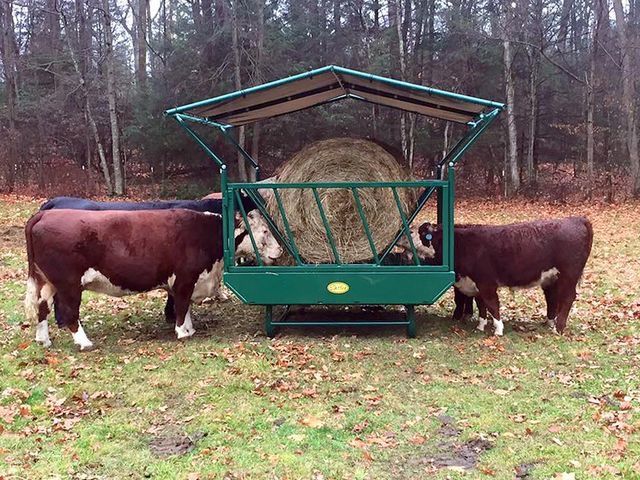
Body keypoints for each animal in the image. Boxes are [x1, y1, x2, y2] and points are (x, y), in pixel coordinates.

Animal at [25, 208, 280, 350]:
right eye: (265, 231)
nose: (279, 251)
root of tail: (45, 213)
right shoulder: (186, 278)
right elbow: (181, 305)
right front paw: (182, 332)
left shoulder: (185, 281)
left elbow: (184, 306)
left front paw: (190, 328)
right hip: (69, 284)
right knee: (70, 313)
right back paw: (84, 342)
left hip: (47, 281)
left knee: (42, 307)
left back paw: (43, 339)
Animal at [408, 218, 592, 334]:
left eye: (422, 234)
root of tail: (577, 219)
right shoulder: (475, 284)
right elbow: (481, 305)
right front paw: (481, 326)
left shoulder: (486, 283)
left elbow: (492, 304)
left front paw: (498, 329)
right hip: (552, 278)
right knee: (553, 299)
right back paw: (550, 323)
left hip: (569, 275)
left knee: (567, 298)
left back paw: (558, 328)